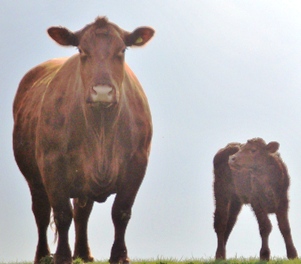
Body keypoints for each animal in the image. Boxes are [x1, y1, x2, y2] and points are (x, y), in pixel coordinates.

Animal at [13, 17, 155, 264]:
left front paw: (119, 256)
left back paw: (83, 253)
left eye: (122, 50)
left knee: (82, 213)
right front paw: (62, 256)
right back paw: (43, 255)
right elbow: (61, 214)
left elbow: (121, 212)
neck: (101, 131)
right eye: (81, 50)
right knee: (41, 212)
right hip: (34, 177)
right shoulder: (52, 165)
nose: (102, 92)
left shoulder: (137, 164)